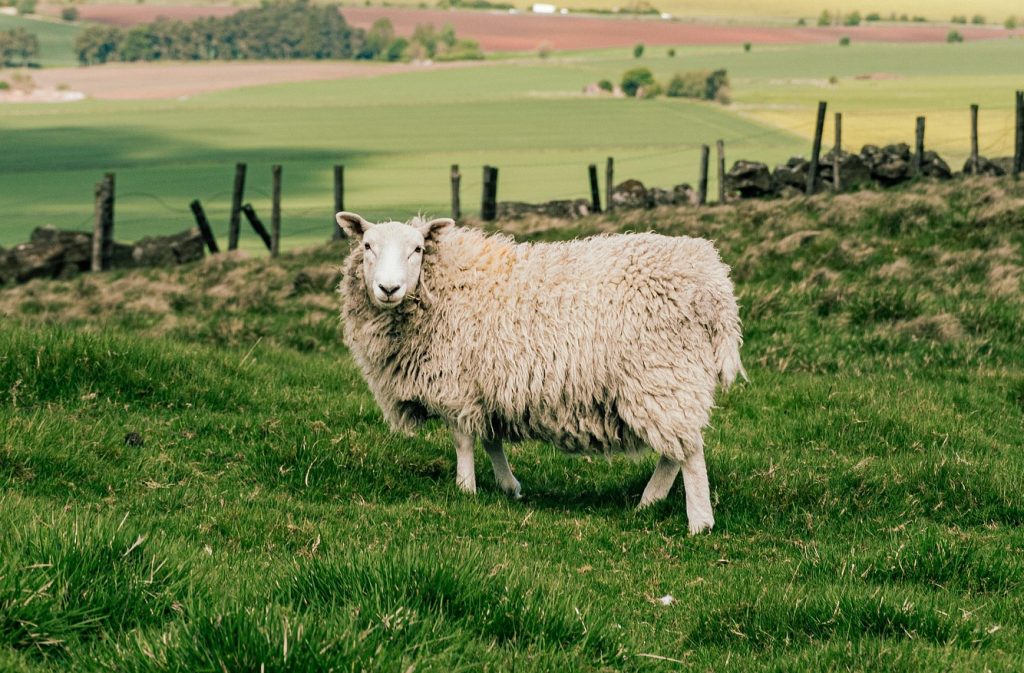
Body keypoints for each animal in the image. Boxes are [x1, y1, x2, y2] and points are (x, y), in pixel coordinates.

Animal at [335, 211, 745, 534]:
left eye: (418, 249)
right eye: (367, 246)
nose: (389, 288)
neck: (445, 286)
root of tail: (714, 286)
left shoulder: (456, 384)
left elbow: (463, 440)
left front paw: (465, 489)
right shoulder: (488, 386)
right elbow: (491, 439)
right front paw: (509, 487)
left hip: (664, 373)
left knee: (689, 451)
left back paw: (699, 522)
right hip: (669, 381)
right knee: (677, 449)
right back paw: (650, 502)